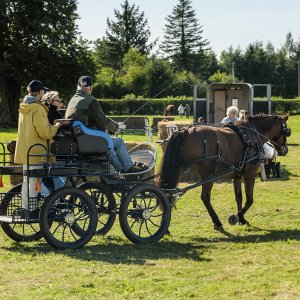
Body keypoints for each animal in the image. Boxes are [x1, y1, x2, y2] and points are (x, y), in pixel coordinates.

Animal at [158, 113, 292, 229]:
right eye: (287, 132)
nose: (285, 150)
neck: (251, 135)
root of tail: (182, 132)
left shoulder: (237, 175)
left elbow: (239, 197)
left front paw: (242, 219)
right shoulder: (250, 173)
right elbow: (249, 199)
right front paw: (236, 217)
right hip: (208, 175)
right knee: (205, 197)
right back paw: (217, 221)